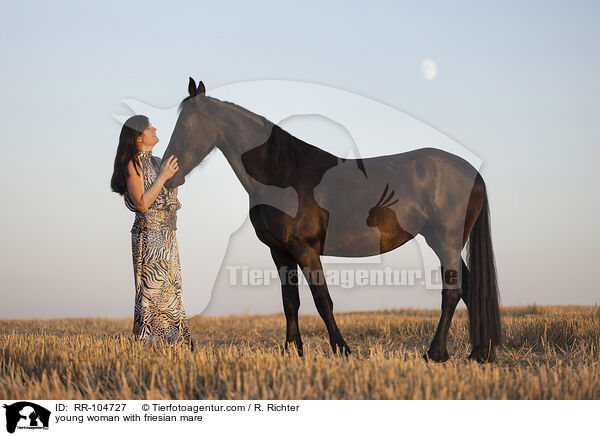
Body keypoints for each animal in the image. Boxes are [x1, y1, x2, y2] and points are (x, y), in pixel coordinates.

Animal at [162, 77, 500, 362]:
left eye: (187, 124)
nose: (169, 171)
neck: (283, 175)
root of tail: (473, 173)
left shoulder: (306, 250)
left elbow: (323, 300)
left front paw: (342, 349)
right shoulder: (280, 252)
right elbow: (290, 303)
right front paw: (292, 351)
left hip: (446, 242)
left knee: (452, 291)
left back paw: (436, 353)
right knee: (471, 290)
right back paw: (479, 354)